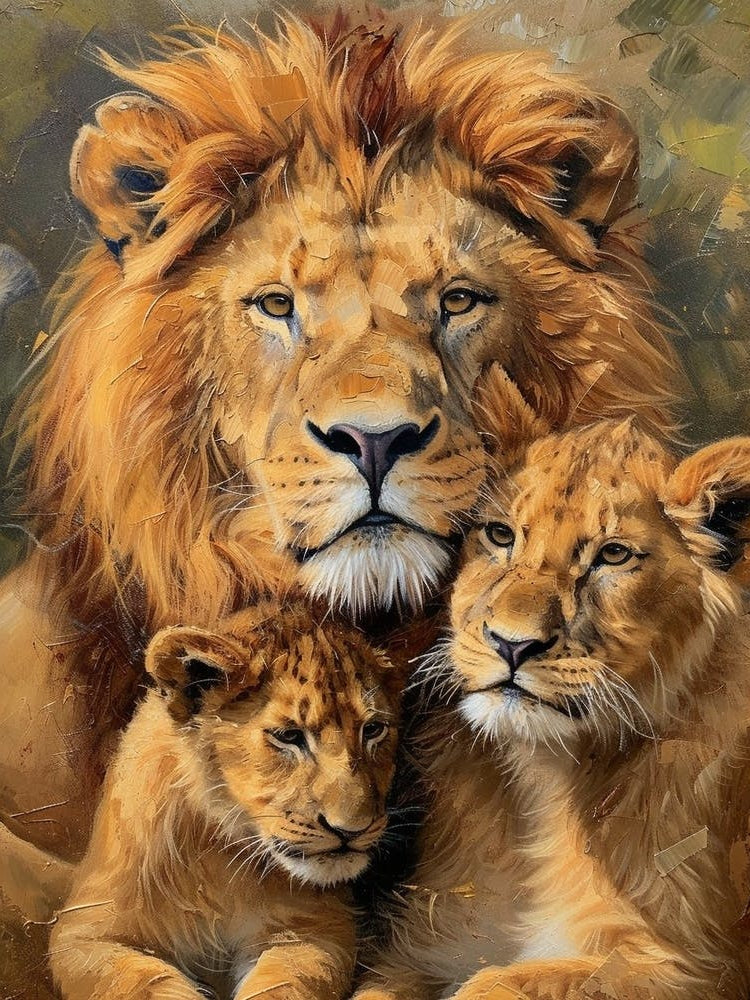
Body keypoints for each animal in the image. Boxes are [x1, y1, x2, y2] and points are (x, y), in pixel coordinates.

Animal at [49, 600, 402, 1000]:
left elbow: (283, 983)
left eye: (373, 730)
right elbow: (144, 981)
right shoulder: (85, 931)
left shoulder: (315, 928)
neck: (219, 855)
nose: (352, 830)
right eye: (289, 736)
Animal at [354, 381, 750, 1000]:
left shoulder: (691, 968)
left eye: (613, 555)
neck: (546, 780)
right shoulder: (425, 945)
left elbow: (502, 983)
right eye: (499, 535)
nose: (511, 645)